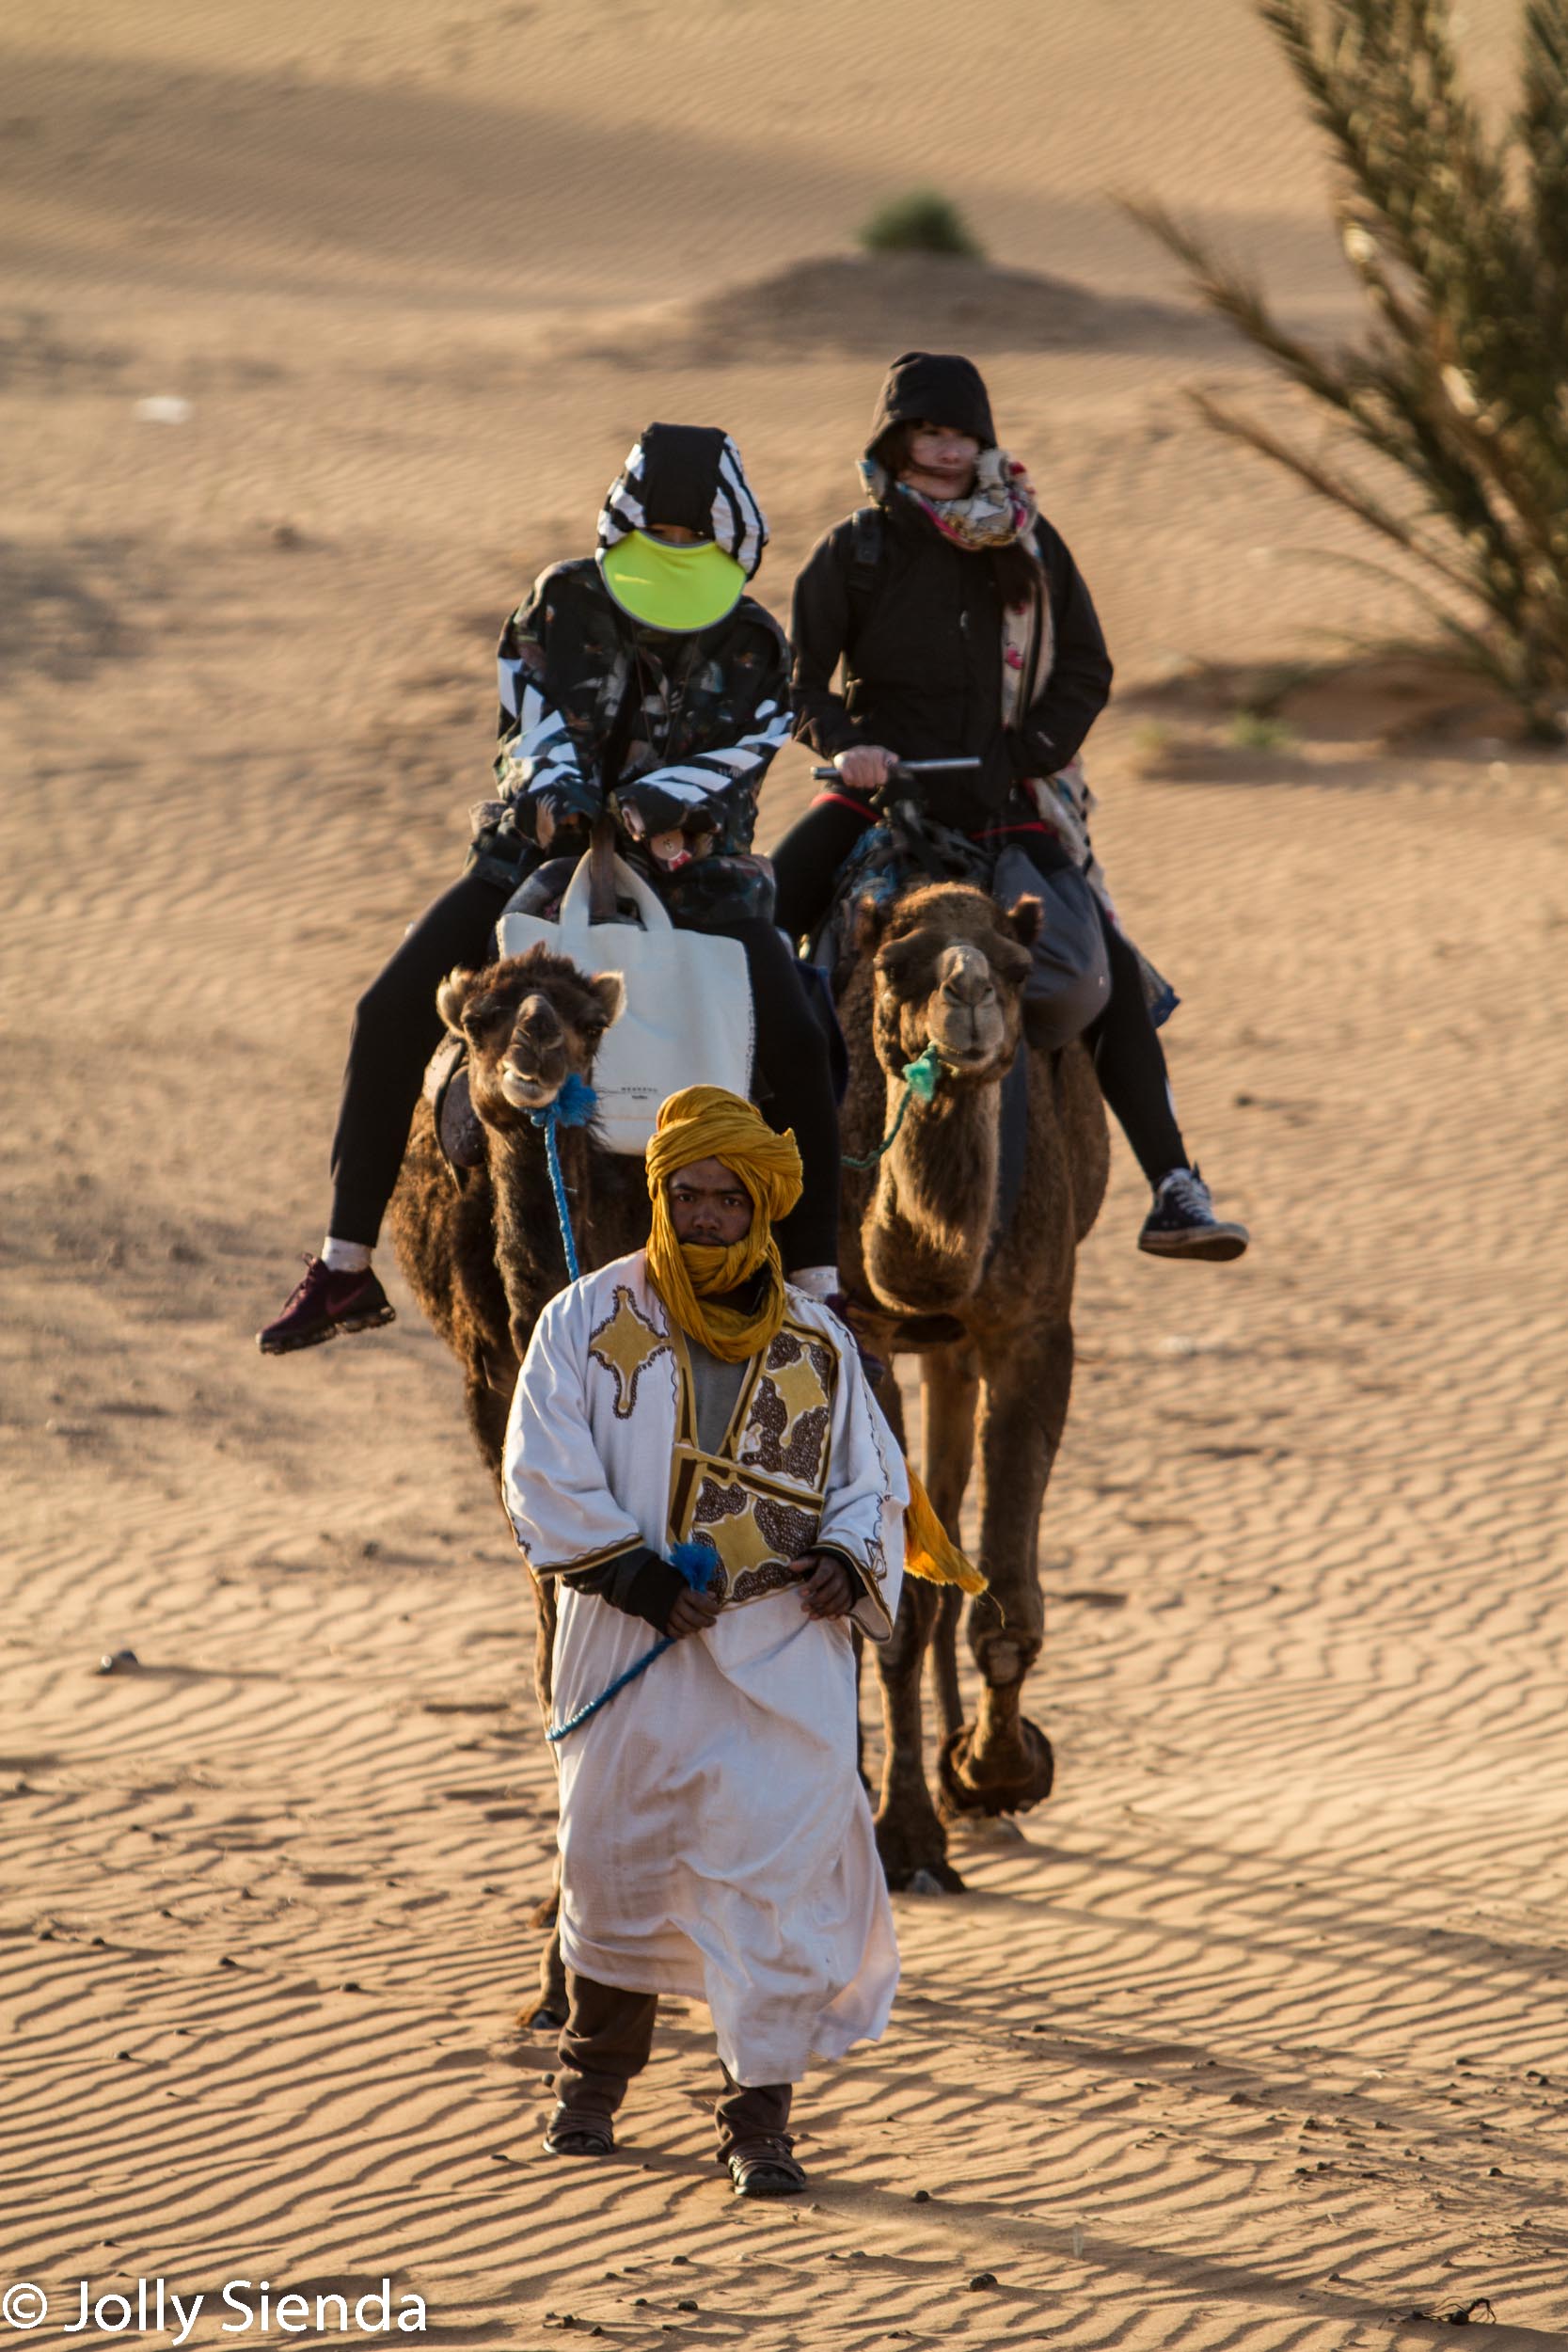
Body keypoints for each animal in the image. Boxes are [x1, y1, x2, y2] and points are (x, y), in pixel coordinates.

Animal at [841, 884, 1109, 1891]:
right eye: (891, 965)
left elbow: (1005, 1584)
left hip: (956, 1353)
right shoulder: (861, 1323)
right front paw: (905, 1836)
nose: (965, 993)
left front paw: (996, 1771)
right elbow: (899, 1600)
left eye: (1021, 968)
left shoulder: (1030, 1330)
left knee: (953, 1521)